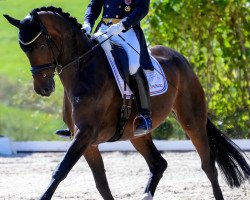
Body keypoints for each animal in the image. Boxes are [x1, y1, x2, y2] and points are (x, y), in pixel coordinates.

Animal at [3, 6, 250, 200]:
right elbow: (101, 184)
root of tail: (180, 59)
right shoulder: (88, 142)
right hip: (136, 133)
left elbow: (60, 171)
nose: (43, 89)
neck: (83, 70)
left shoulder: (85, 134)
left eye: (41, 46)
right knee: (158, 164)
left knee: (208, 166)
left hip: (192, 122)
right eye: (24, 49)